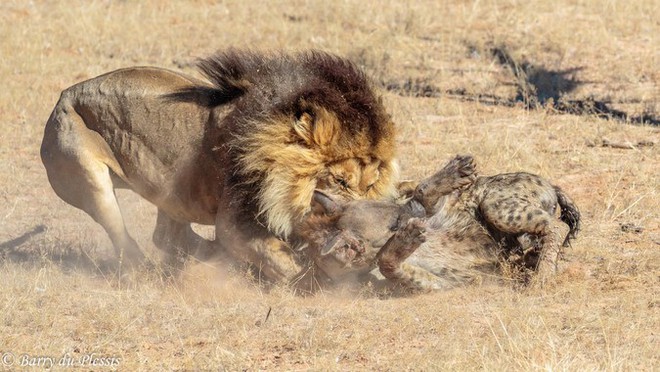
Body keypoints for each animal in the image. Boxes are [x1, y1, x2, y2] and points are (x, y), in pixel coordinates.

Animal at [41, 50, 398, 282]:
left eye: (369, 185)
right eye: (340, 181)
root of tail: (64, 93)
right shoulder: (234, 220)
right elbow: (278, 256)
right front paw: (313, 280)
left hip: (173, 192)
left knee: (169, 237)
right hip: (87, 176)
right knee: (124, 238)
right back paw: (147, 273)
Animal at [292, 155, 580, 294]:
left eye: (395, 215)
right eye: (394, 224)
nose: (415, 218)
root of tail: (551, 185)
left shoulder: (432, 207)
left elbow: (422, 189)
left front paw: (455, 171)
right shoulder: (445, 282)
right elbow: (390, 264)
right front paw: (404, 242)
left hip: (494, 204)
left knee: (556, 226)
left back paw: (542, 272)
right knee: (554, 228)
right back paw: (538, 267)